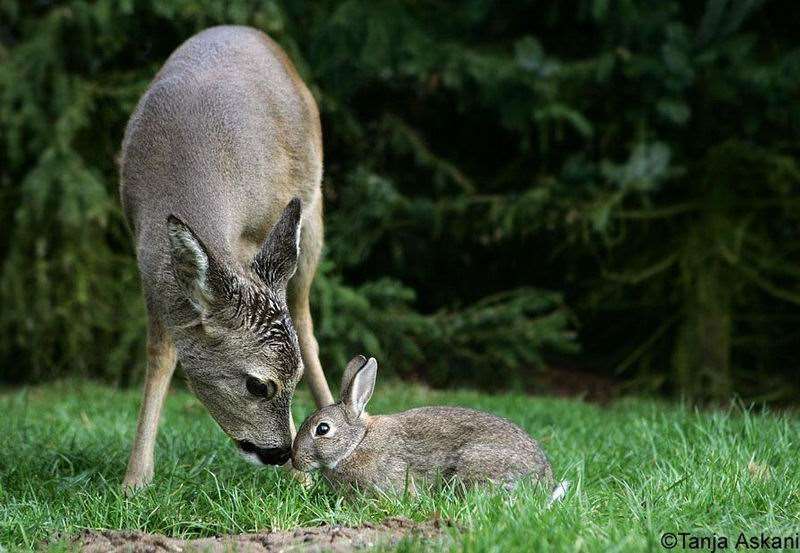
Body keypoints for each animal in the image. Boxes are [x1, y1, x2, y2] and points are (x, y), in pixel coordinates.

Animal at [117, 23, 332, 490]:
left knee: (306, 320)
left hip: (312, 218)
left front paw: (302, 477)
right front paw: (136, 478)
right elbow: (161, 352)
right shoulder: (147, 258)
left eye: (293, 379)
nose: (282, 452)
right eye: (257, 385)